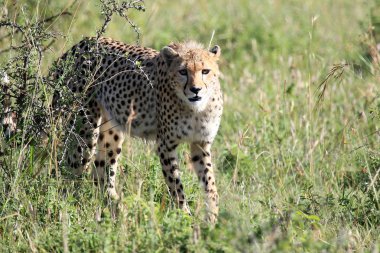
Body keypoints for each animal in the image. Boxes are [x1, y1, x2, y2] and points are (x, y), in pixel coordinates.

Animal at [55, 36, 224, 222]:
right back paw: (70, 210)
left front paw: (212, 218)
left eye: (205, 71)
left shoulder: (200, 144)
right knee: (70, 173)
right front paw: (184, 217)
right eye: (183, 72)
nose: (196, 89)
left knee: (100, 174)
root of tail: (82, 43)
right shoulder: (165, 146)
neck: (195, 108)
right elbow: (176, 186)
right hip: (85, 131)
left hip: (112, 131)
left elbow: (210, 183)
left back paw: (118, 208)